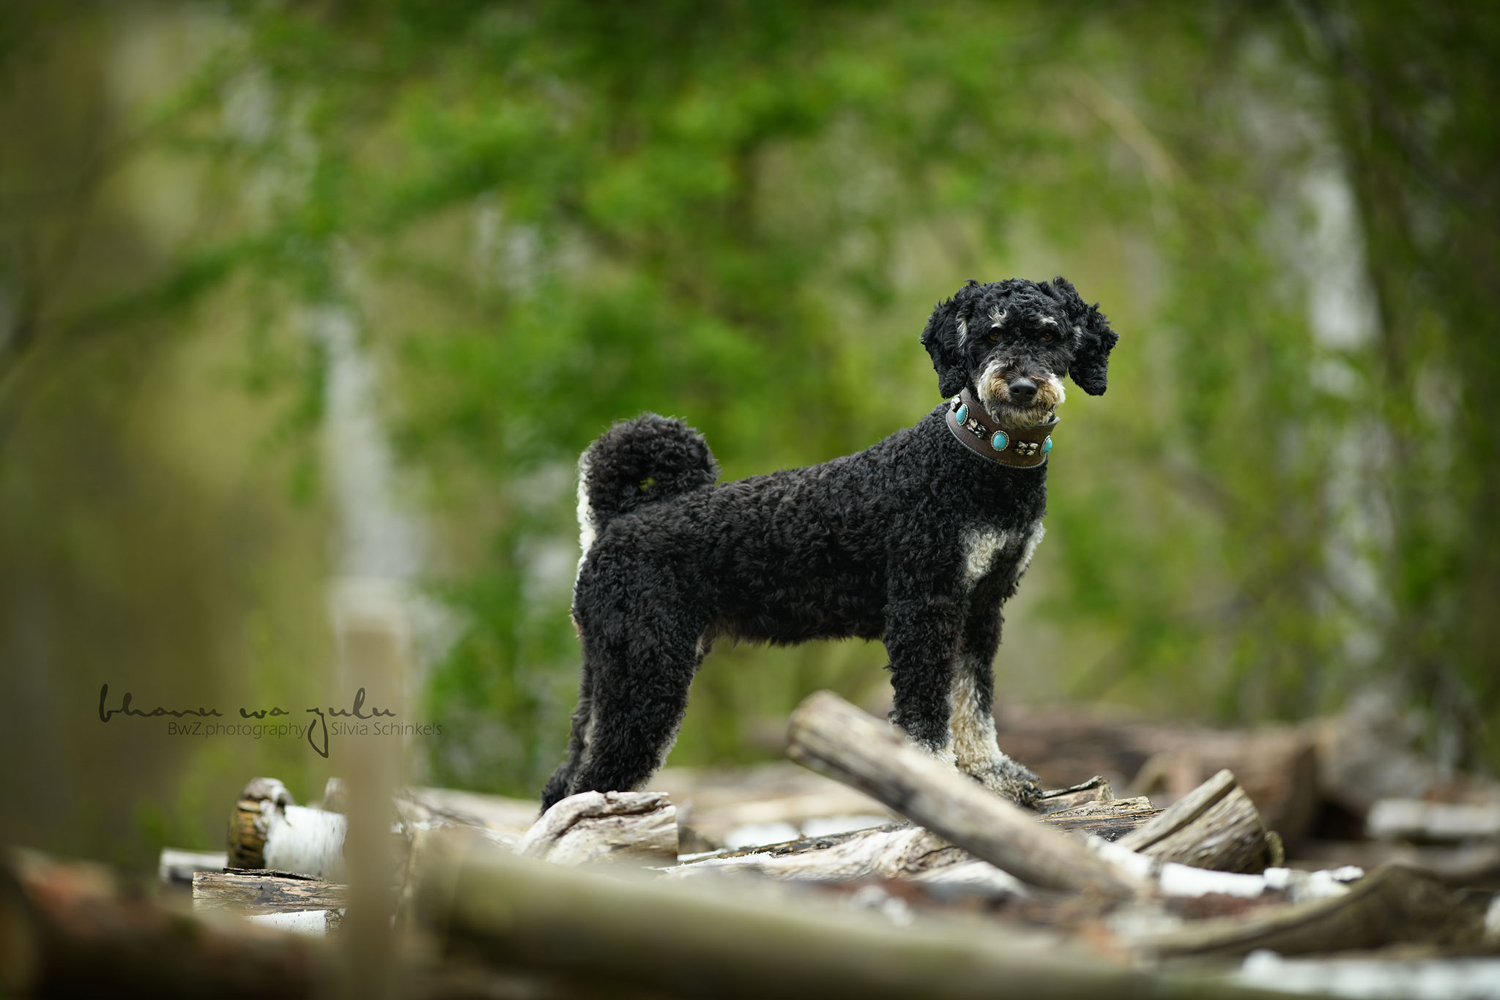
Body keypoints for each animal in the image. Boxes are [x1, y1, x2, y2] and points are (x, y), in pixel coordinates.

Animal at [540, 275, 1116, 815]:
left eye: (1050, 335)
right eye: (992, 334)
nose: (1021, 386)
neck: (977, 460)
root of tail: (617, 519)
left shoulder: (980, 610)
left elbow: (973, 701)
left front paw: (992, 773)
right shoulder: (923, 608)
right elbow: (928, 713)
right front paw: (935, 785)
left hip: (607, 674)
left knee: (561, 782)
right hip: (646, 674)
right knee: (592, 779)